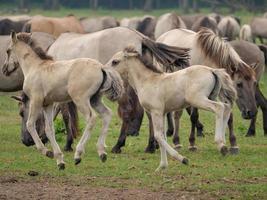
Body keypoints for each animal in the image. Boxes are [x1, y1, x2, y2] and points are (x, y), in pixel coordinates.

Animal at [2, 32, 124, 170]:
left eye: (8, 51)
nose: (4, 69)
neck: (35, 67)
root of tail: (101, 67)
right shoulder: (47, 105)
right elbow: (49, 129)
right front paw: (59, 160)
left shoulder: (36, 100)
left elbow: (30, 124)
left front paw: (46, 152)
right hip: (95, 99)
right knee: (107, 114)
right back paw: (101, 152)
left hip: (81, 100)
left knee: (92, 118)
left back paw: (78, 154)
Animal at [105, 45, 238, 170]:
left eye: (115, 62)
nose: (105, 74)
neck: (147, 81)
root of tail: (212, 70)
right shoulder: (163, 113)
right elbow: (163, 137)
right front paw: (162, 166)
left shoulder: (156, 111)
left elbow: (158, 136)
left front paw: (182, 159)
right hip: (211, 96)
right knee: (226, 108)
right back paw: (225, 143)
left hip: (198, 99)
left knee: (219, 108)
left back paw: (221, 144)